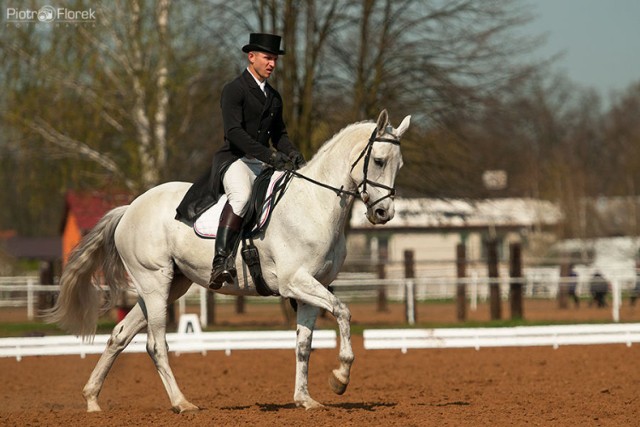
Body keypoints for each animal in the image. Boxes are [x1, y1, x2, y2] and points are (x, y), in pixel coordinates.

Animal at [46, 109, 410, 414]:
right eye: (379, 161)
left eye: (399, 166)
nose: (383, 213)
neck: (315, 203)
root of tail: (130, 209)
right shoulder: (296, 282)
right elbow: (343, 312)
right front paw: (341, 377)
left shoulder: (312, 288)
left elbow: (303, 345)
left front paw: (305, 399)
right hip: (154, 283)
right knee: (155, 344)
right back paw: (182, 403)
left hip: (170, 287)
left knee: (121, 334)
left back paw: (92, 400)